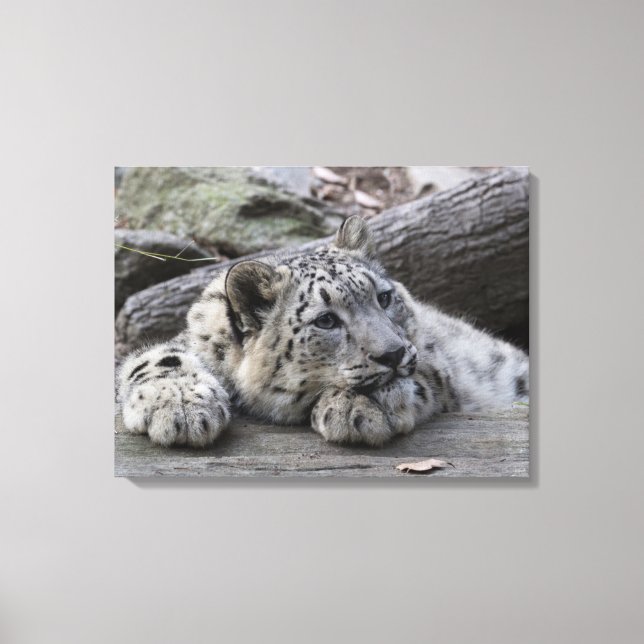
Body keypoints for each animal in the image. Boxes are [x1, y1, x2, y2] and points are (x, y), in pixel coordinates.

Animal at [117, 216, 529, 448]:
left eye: (384, 297)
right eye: (326, 320)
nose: (394, 353)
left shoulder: (434, 359)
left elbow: (424, 372)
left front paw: (357, 408)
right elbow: (156, 357)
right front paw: (181, 408)